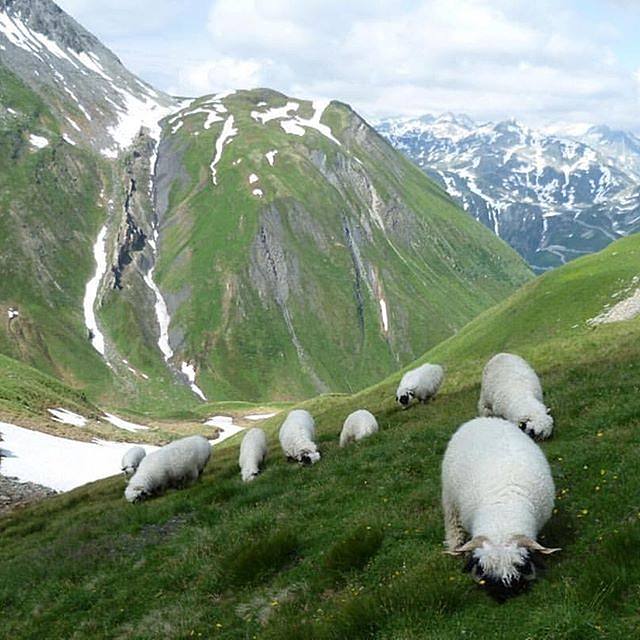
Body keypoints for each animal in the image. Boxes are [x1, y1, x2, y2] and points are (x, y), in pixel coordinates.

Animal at [442, 418, 556, 596]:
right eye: (483, 569)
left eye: (519, 566)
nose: (503, 593)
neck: (502, 516)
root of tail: (483, 419)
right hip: (450, 498)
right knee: (453, 524)